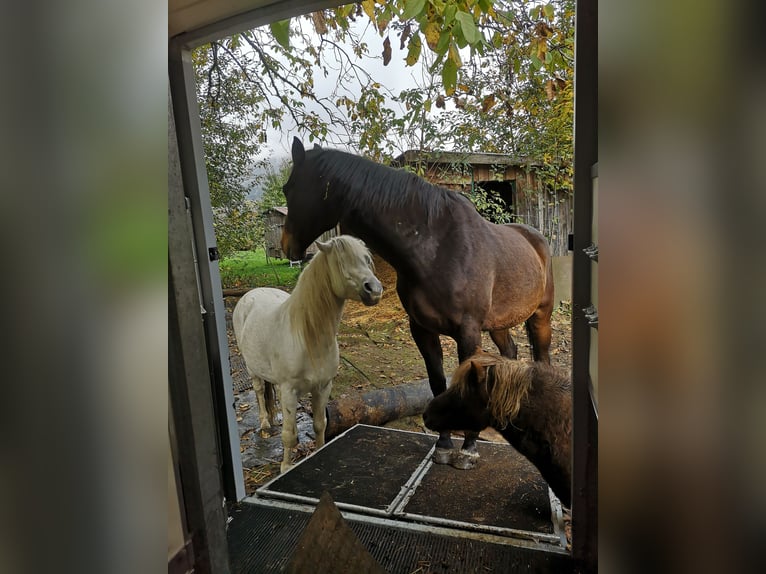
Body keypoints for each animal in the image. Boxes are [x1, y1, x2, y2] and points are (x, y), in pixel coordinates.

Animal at [231, 235, 380, 472]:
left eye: (366, 259)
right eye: (341, 261)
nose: (374, 290)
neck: (308, 338)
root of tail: (250, 294)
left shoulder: (323, 387)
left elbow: (320, 425)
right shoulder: (290, 391)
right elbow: (288, 435)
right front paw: (285, 466)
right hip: (251, 369)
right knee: (259, 391)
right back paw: (264, 423)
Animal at [280, 138, 556, 468]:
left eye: (288, 189)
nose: (286, 247)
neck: (435, 248)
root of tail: (536, 239)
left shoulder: (468, 332)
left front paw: (468, 449)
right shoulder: (422, 329)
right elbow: (437, 383)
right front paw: (444, 445)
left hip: (540, 316)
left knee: (542, 357)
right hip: (498, 324)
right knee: (510, 352)